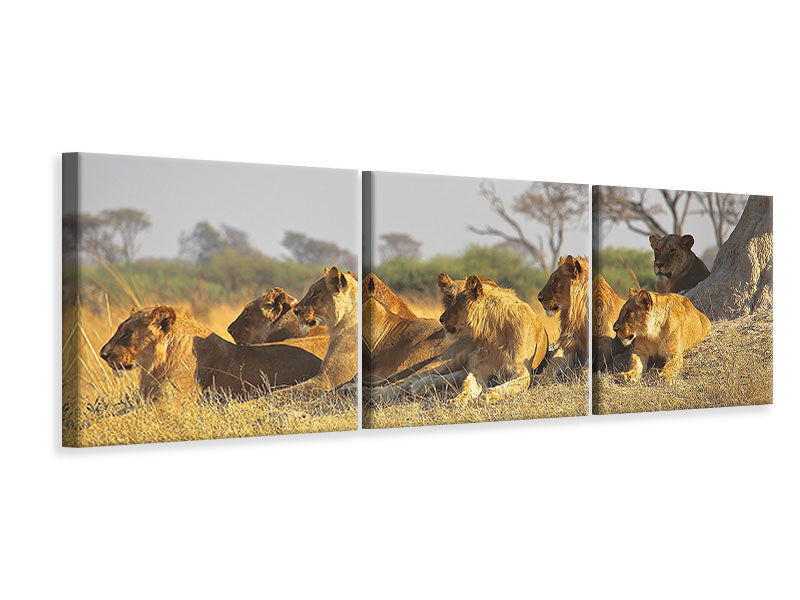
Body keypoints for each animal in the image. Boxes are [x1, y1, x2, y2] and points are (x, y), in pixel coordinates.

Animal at [440, 275, 549, 403]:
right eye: (448, 297)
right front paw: (458, 399)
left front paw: (485, 397)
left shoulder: (522, 371)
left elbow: (508, 387)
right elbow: (467, 385)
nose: (441, 319)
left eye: (456, 301)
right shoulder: (479, 368)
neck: (494, 330)